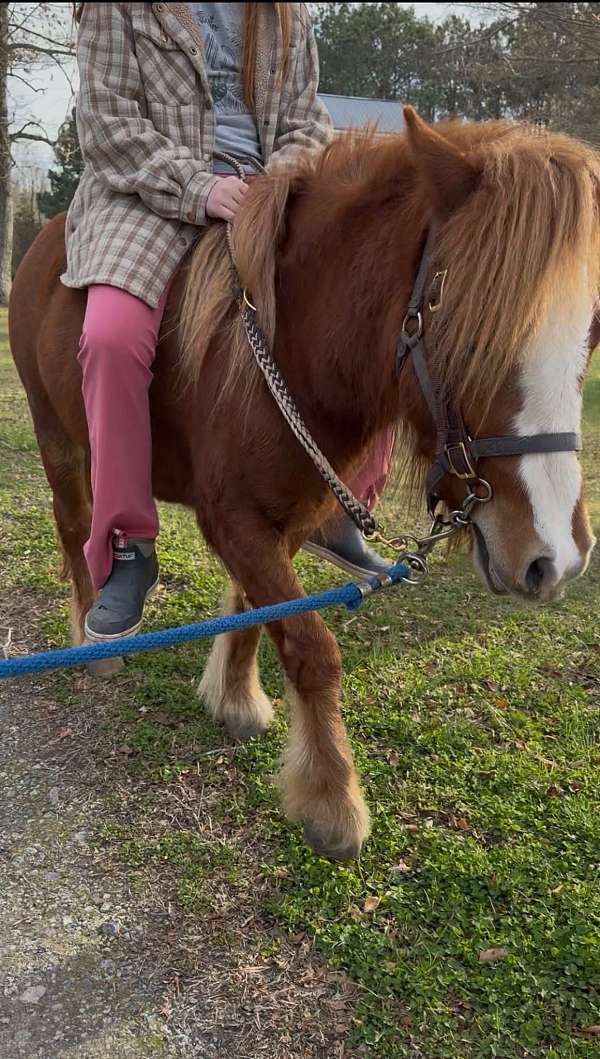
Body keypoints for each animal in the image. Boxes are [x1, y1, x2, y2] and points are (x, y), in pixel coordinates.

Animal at [9, 108, 600, 861]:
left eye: (591, 334)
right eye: (469, 332)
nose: (556, 558)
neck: (291, 349)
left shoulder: (284, 513)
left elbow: (258, 615)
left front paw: (234, 698)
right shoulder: (232, 519)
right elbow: (311, 647)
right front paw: (332, 801)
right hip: (60, 441)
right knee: (78, 529)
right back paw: (94, 633)